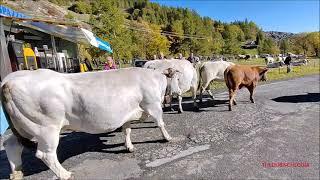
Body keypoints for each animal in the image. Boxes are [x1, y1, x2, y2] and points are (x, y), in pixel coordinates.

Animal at [0, 68, 178, 179]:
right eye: (176, 77)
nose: (177, 92)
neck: (156, 79)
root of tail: (9, 81)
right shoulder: (152, 104)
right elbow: (161, 123)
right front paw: (168, 138)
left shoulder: (127, 114)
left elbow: (127, 130)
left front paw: (129, 146)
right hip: (47, 128)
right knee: (45, 154)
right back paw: (65, 175)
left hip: (23, 127)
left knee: (11, 144)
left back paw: (17, 172)